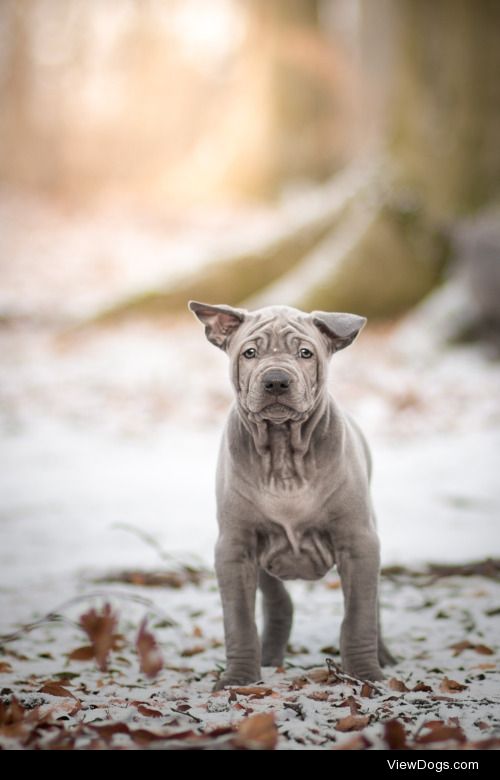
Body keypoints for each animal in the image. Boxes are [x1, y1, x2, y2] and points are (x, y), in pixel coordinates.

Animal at [188, 298, 394, 688]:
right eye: (250, 353)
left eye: (305, 353)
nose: (276, 380)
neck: (283, 449)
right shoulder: (234, 548)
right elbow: (239, 621)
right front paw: (238, 679)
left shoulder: (358, 542)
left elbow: (358, 616)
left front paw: (366, 675)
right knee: (278, 601)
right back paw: (270, 654)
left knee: (372, 606)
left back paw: (384, 656)